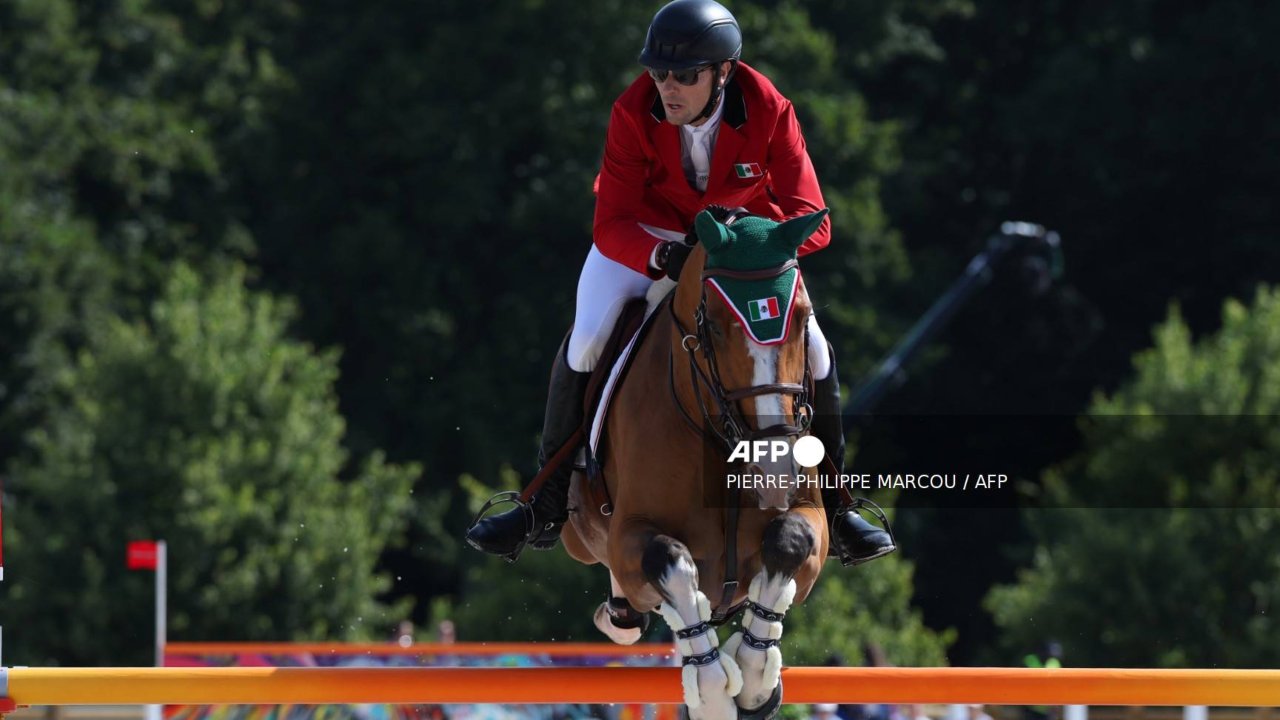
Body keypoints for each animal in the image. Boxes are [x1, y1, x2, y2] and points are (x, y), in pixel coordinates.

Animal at [563, 206, 829, 717]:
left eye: (803, 319)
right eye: (717, 328)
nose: (774, 469)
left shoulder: (811, 523)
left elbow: (790, 541)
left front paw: (754, 681)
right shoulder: (628, 536)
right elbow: (667, 558)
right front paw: (710, 692)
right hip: (579, 537)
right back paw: (620, 615)